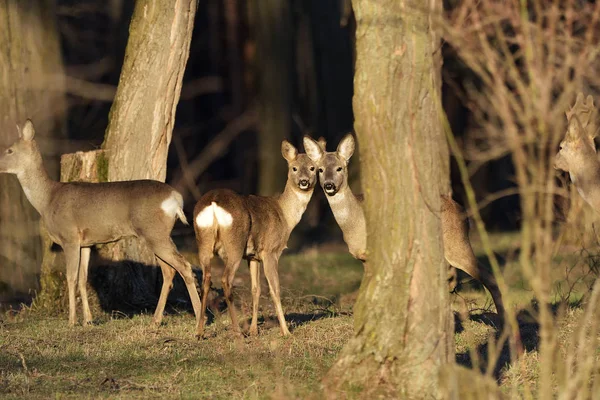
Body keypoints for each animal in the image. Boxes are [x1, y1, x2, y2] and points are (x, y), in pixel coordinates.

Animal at [0, 120, 203, 336]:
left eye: (9, 150)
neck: (47, 200)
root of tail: (176, 198)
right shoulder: (86, 243)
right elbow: (83, 278)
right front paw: (88, 320)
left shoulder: (70, 237)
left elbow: (71, 278)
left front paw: (71, 321)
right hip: (159, 234)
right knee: (169, 271)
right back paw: (155, 321)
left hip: (154, 233)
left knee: (184, 266)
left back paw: (200, 321)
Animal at [193, 139, 318, 336]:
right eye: (294, 168)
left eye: (313, 168)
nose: (304, 182)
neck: (285, 216)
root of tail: (214, 202)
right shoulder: (270, 251)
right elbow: (274, 289)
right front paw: (286, 331)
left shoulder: (252, 256)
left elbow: (255, 289)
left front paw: (254, 330)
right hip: (234, 245)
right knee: (226, 280)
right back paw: (237, 331)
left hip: (203, 241)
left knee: (206, 279)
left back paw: (199, 332)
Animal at [304, 134, 506, 316]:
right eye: (320, 170)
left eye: (339, 168)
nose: (329, 185)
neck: (356, 224)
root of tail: (463, 211)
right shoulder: (364, 257)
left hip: (456, 242)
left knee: (489, 276)